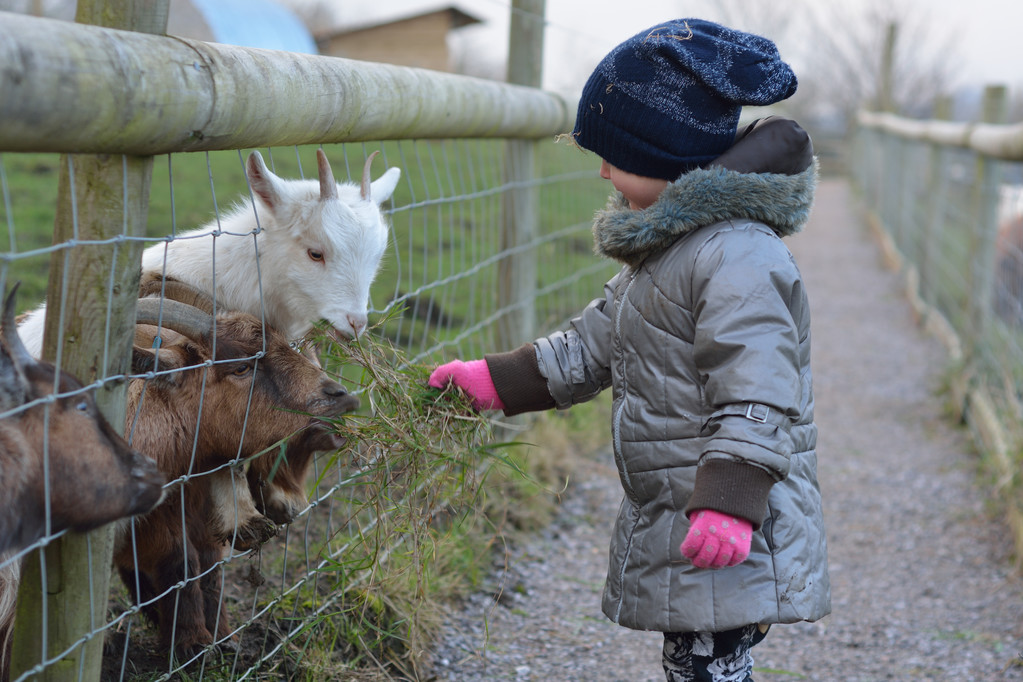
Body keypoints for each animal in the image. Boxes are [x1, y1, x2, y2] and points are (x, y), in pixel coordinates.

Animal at [116, 296, 360, 654]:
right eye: (241, 367)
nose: (340, 396)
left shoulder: (197, 513)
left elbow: (208, 567)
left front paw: (222, 638)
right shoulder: (154, 526)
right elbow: (181, 563)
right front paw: (193, 644)